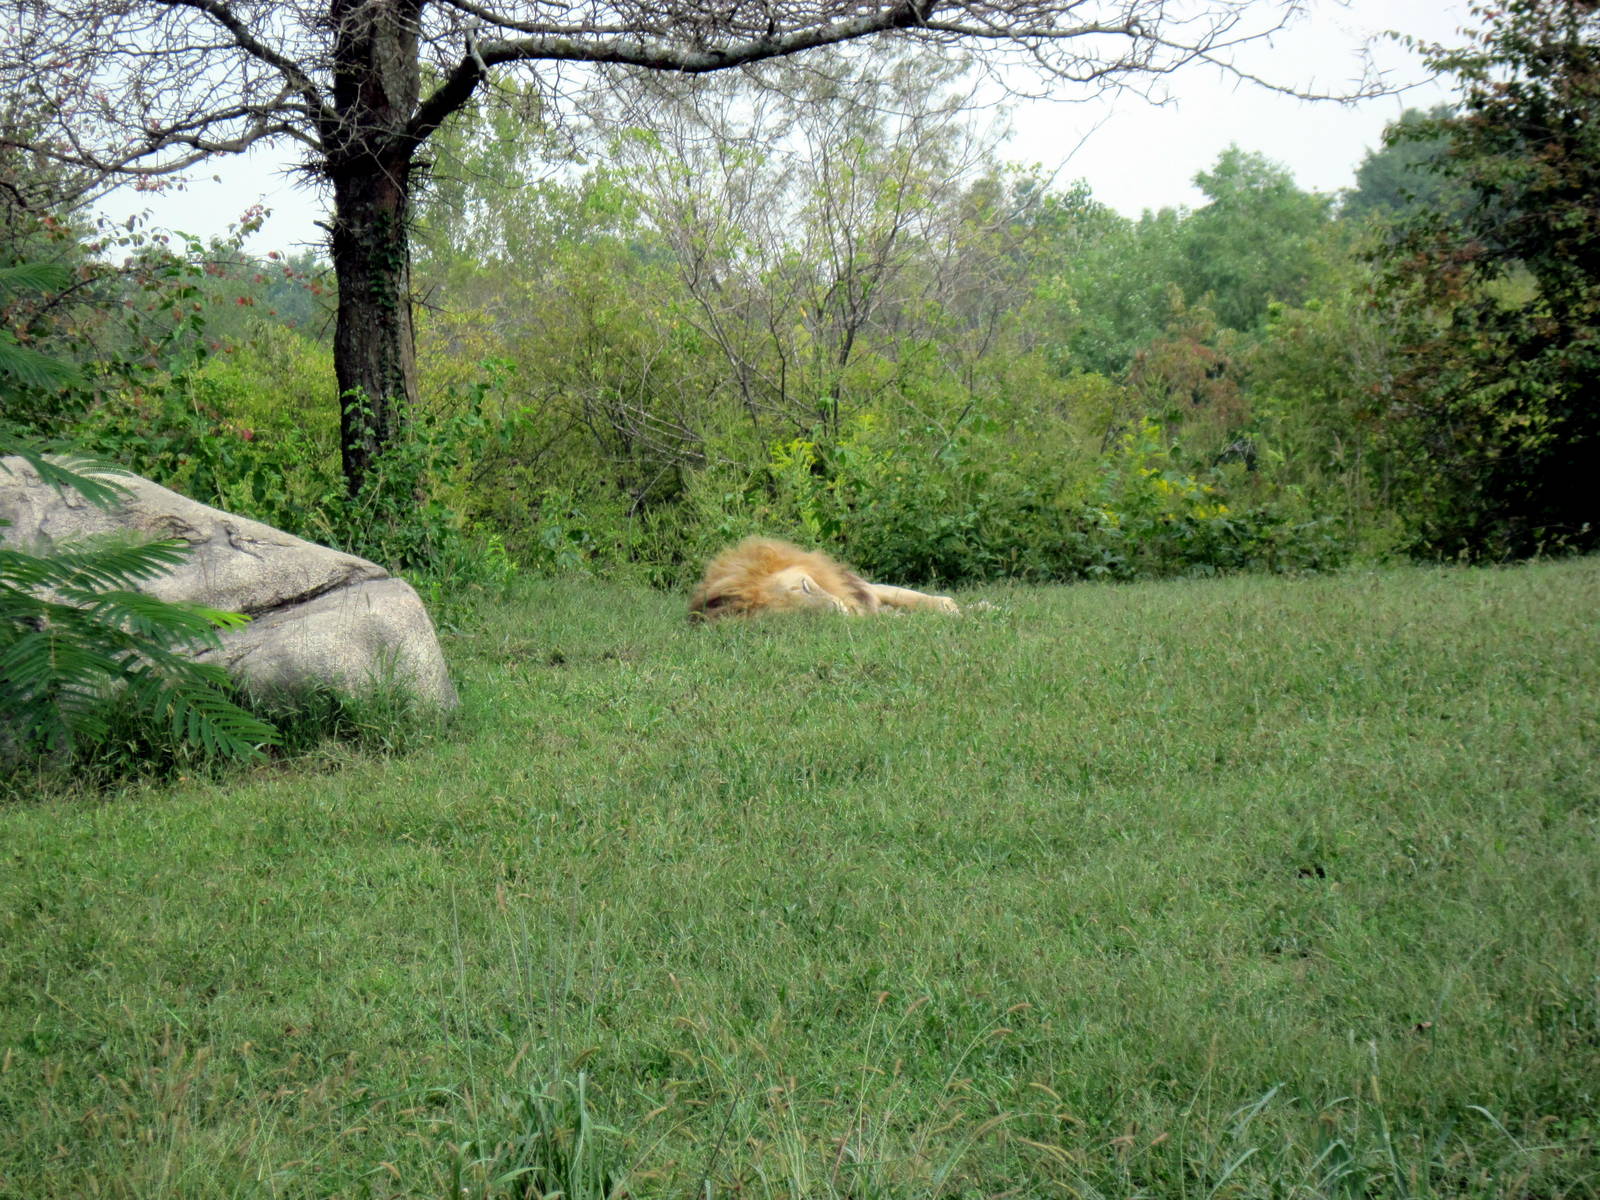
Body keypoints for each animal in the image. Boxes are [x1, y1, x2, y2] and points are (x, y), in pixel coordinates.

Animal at [688, 537, 960, 621]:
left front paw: (953, 609)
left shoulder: (863, 587)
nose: (837, 610)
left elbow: (913, 597)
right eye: (800, 615)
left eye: (804, 586)